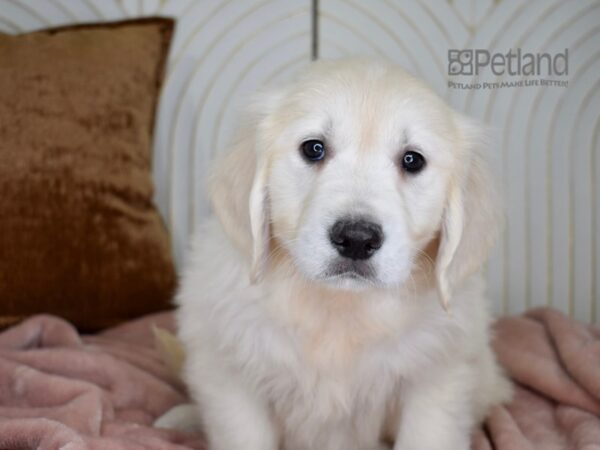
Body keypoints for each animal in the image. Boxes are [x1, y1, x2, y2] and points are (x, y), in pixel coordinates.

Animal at [173, 59, 510, 450]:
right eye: (313, 149)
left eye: (412, 160)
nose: (357, 239)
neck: (338, 309)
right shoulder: (231, 376)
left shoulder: (437, 381)